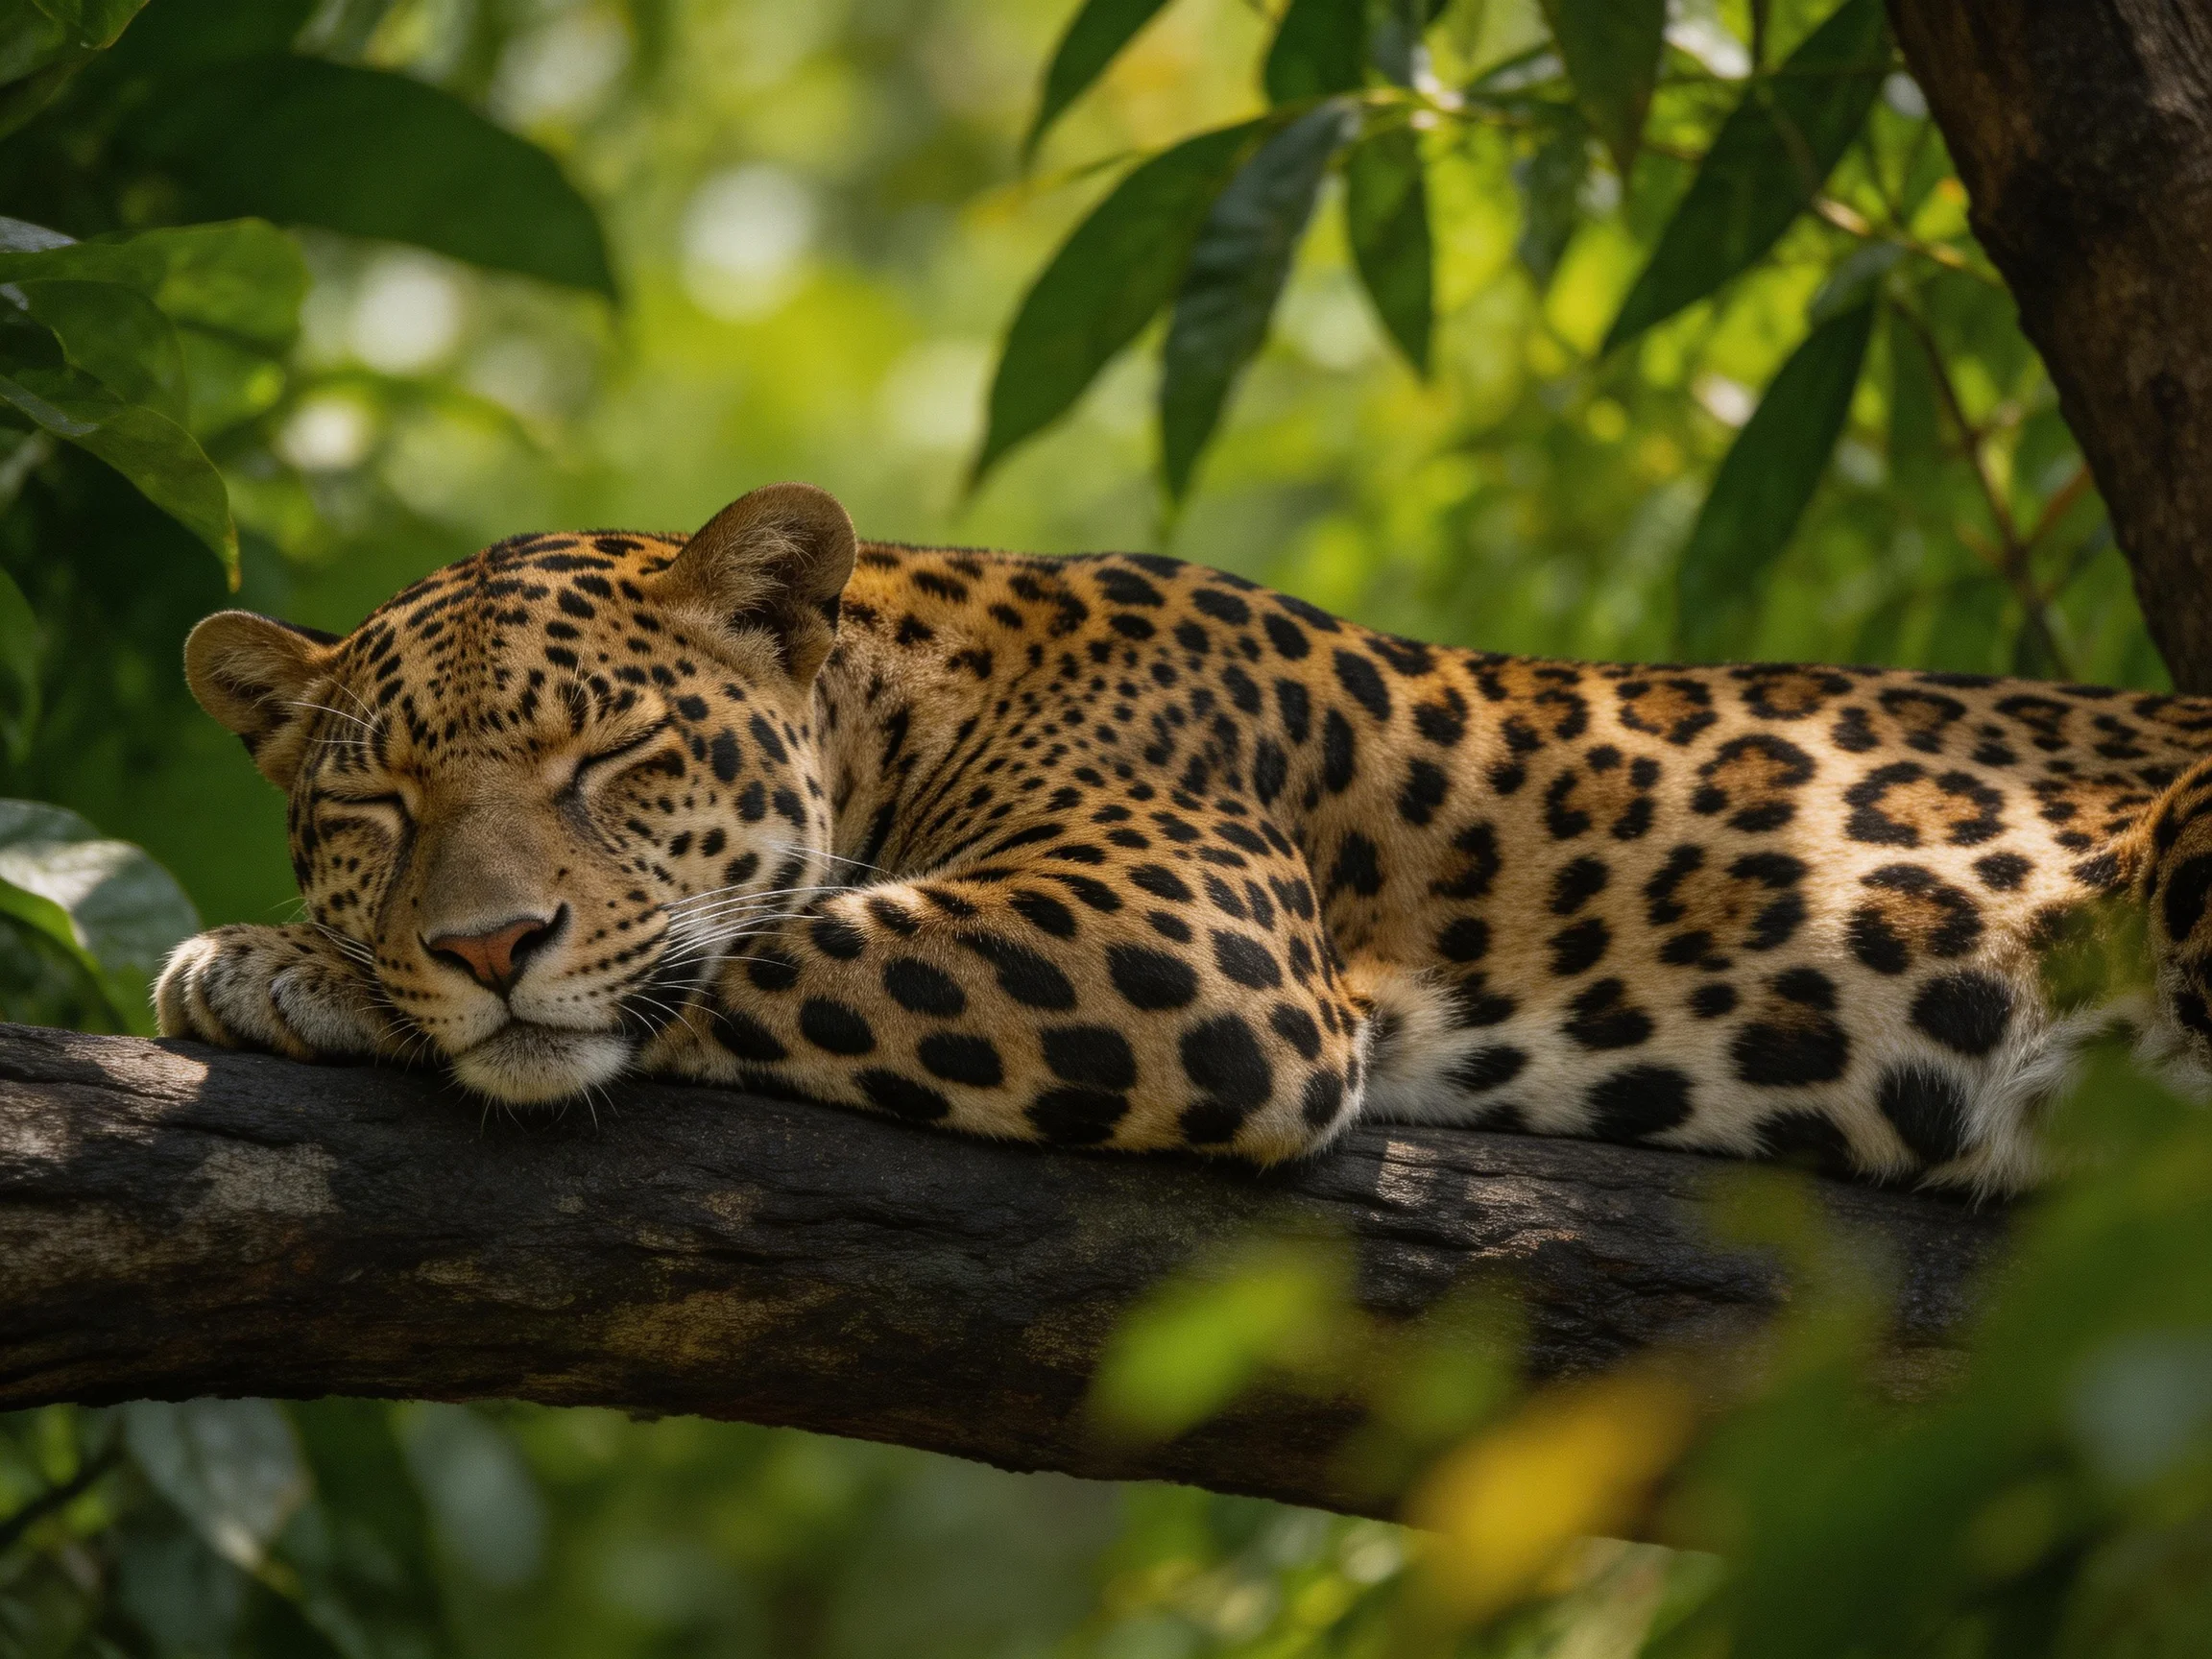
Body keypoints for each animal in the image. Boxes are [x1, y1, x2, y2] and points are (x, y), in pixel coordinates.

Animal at [155, 481, 2212, 1193]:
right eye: (374, 804)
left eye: (612, 756)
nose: (480, 942)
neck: (902, 690)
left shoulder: (1173, 931)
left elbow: (743, 948)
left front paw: (283, 969)